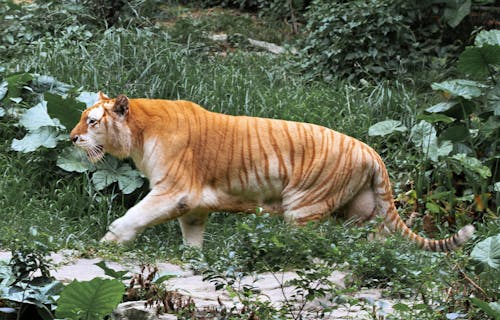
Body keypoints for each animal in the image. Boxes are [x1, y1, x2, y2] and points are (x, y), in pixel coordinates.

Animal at [69, 91, 472, 251]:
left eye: (92, 121)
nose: (72, 138)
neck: (139, 133)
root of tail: (371, 151)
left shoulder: (174, 190)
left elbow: (133, 216)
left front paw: (107, 243)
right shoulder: (194, 202)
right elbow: (192, 233)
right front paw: (192, 256)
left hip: (304, 206)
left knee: (306, 242)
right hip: (360, 212)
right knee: (369, 242)